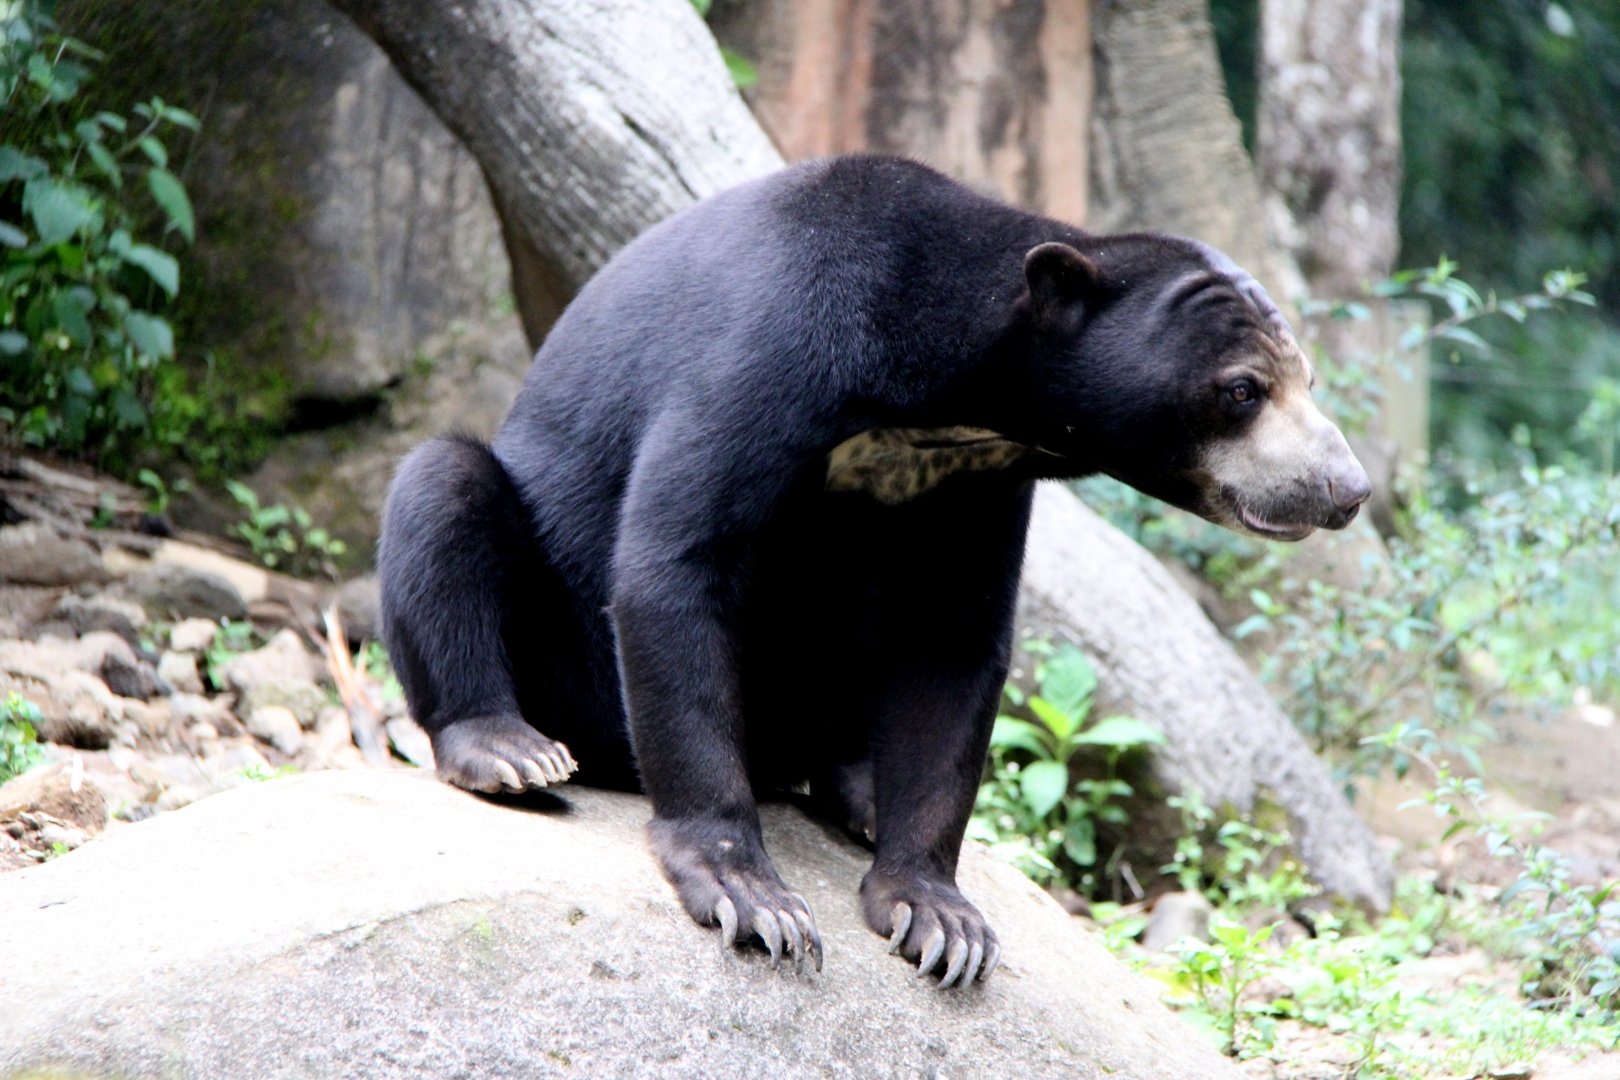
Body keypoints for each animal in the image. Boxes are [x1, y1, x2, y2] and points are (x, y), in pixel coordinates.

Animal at [377, 155, 1370, 989]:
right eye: (1242, 390)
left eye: (1309, 383)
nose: (1346, 489)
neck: (938, 398)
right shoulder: (774, 345)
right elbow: (678, 563)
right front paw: (753, 899)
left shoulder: (977, 479)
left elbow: (952, 639)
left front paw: (938, 918)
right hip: (550, 633)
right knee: (443, 492)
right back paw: (511, 748)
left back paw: (857, 788)